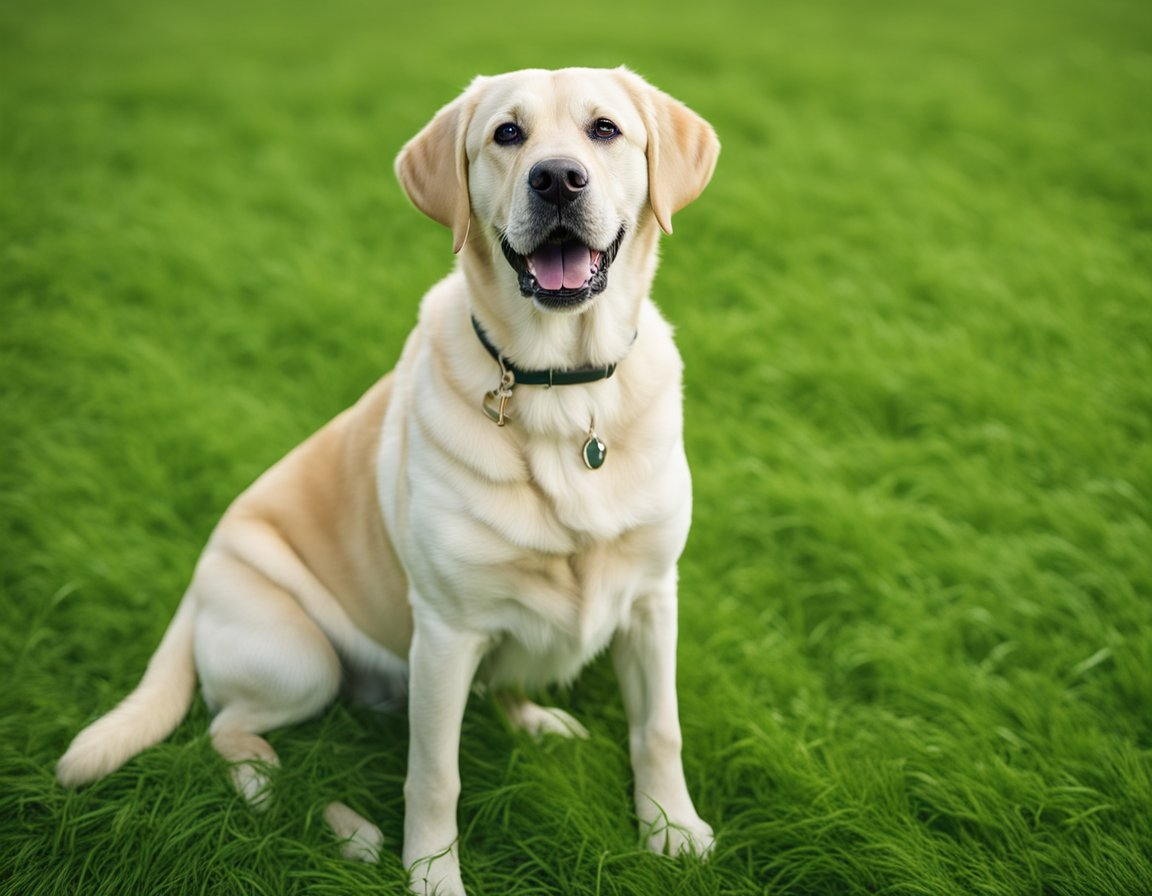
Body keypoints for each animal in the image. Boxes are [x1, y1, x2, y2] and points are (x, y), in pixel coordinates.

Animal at [60, 67, 718, 893]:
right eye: (507, 134)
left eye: (604, 130)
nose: (557, 179)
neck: (564, 389)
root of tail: (197, 581)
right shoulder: (443, 632)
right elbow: (435, 775)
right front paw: (432, 875)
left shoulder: (653, 597)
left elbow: (659, 728)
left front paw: (671, 829)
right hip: (299, 659)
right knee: (225, 725)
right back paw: (287, 798)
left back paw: (537, 722)